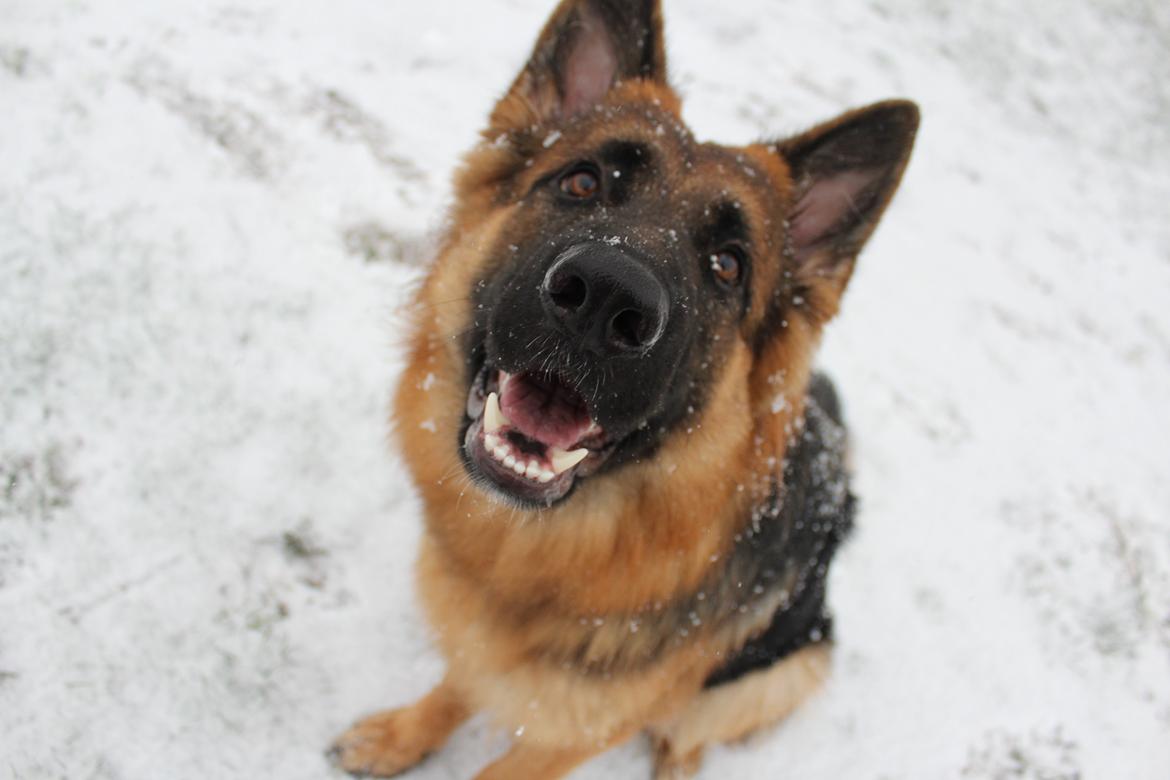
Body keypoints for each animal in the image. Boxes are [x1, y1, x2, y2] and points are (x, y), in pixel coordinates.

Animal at [329, 3, 912, 776]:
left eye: (728, 265)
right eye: (582, 184)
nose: (605, 298)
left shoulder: (567, 736)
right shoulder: (482, 647)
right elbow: (458, 686)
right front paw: (404, 736)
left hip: (780, 670)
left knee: (688, 737)